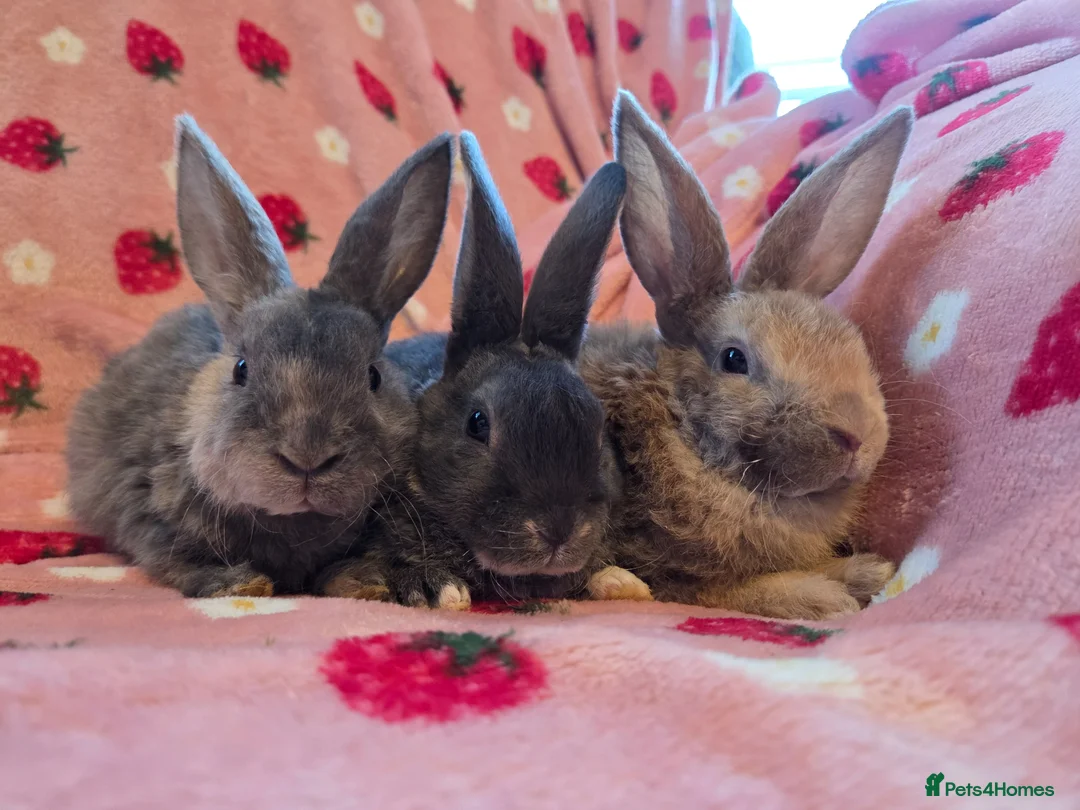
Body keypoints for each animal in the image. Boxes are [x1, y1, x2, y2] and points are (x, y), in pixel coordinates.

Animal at [65, 115, 453, 598]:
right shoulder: (143, 510)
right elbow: (173, 558)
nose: (307, 457)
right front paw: (239, 584)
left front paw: (365, 582)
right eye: (241, 369)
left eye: (373, 377)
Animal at [575, 91, 912, 619]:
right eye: (734, 359)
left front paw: (868, 571)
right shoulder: (680, 575)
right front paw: (826, 598)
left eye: (852, 343)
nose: (858, 434)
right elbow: (741, 591)